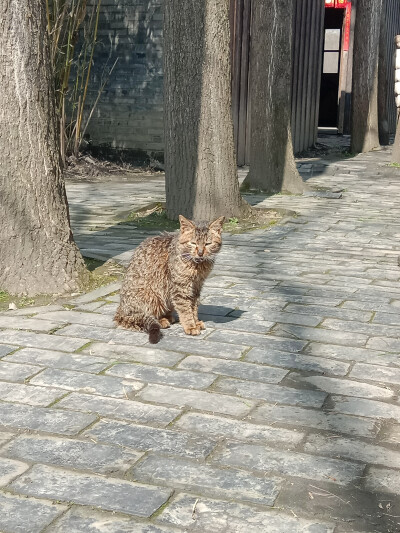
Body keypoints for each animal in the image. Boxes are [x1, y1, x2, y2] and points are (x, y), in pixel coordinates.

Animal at [115, 214, 225, 342]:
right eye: (193, 243)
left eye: (208, 243)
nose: (201, 253)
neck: (198, 265)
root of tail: (121, 308)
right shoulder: (180, 288)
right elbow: (185, 309)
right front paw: (190, 326)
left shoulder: (197, 286)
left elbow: (193, 307)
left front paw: (196, 322)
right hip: (151, 296)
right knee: (140, 316)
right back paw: (161, 321)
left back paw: (168, 317)